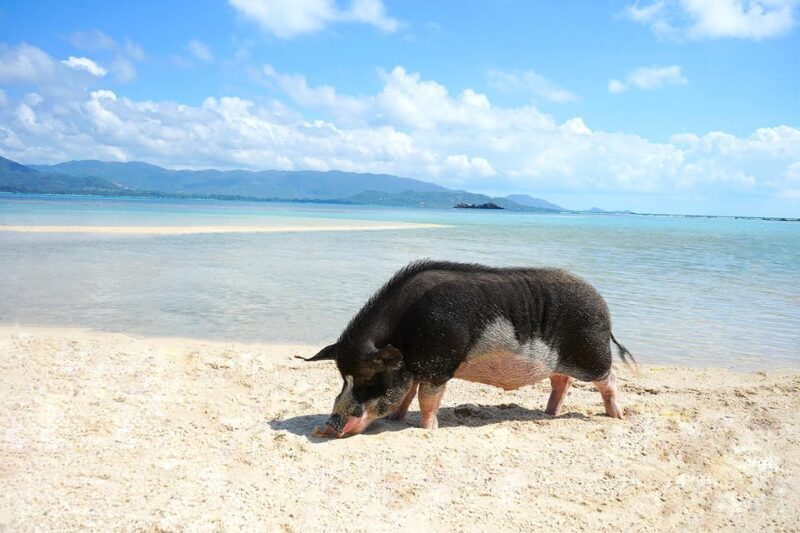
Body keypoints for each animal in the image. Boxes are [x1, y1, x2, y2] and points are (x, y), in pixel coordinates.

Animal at [304, 260, 635, 438]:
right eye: (343, 378)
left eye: (370, 378)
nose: (328, 426)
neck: (403, 332)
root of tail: (605, 310)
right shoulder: (416, 368)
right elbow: (407, 394)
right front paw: (395, 419)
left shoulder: (438, 365)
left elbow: (426, 399)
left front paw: (429, 430)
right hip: (558, 362)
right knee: (560, 381)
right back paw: (549, 414)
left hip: (591, 354)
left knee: (610, 379)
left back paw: (618, 416)